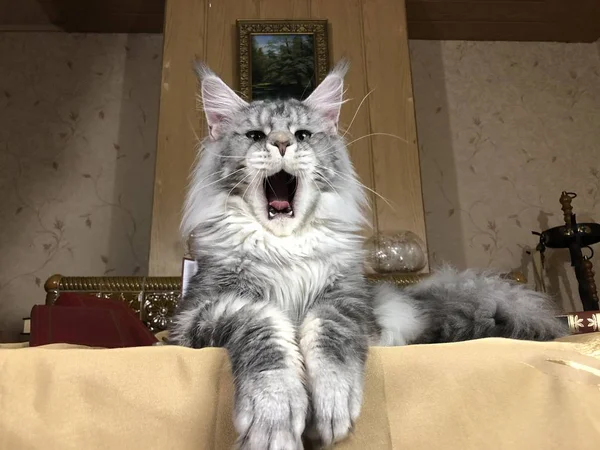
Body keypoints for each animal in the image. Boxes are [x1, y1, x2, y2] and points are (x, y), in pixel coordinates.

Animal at [169, 60, 568, 450]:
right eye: (255, 136)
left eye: (302, 135)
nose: (281, 143)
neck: (285, 249)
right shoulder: (203, 311)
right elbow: (266, 332)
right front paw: (274, 416)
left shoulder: (345, 300)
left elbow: (328, 338)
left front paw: (331, 403)